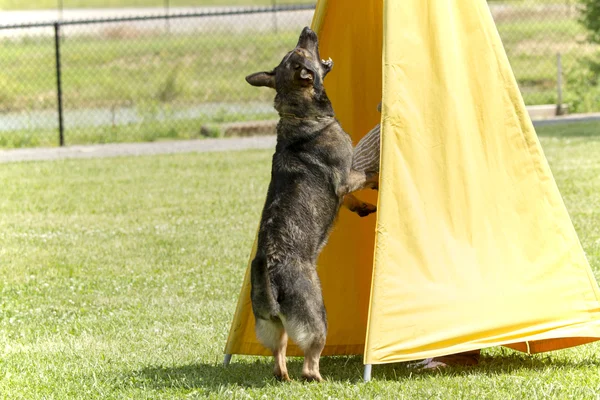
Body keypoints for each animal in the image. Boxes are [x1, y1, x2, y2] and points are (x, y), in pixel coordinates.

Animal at [245, 25, 378, 382]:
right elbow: (365, 175)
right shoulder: (345, 175)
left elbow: (351, 198)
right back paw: (317, 378)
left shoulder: (343, 186)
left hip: (272, 328)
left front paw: (363, 207)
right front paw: (377, 175)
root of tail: (271, 276)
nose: (307, 28)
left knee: (279, 359)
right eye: (302, 51)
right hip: (317, 318)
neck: (299, 112)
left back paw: (285, 377)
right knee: (309, 362)